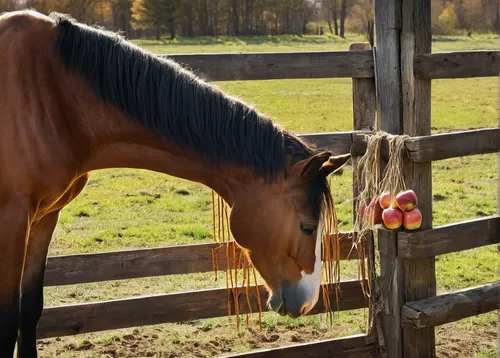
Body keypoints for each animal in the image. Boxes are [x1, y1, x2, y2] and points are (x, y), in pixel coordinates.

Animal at [0, 9, 352, 356]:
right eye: (307, 226)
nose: (307, 301)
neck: (50, 94)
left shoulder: (45, 217)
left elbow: (29, 310)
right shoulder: (13, 220)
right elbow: (8, 318)